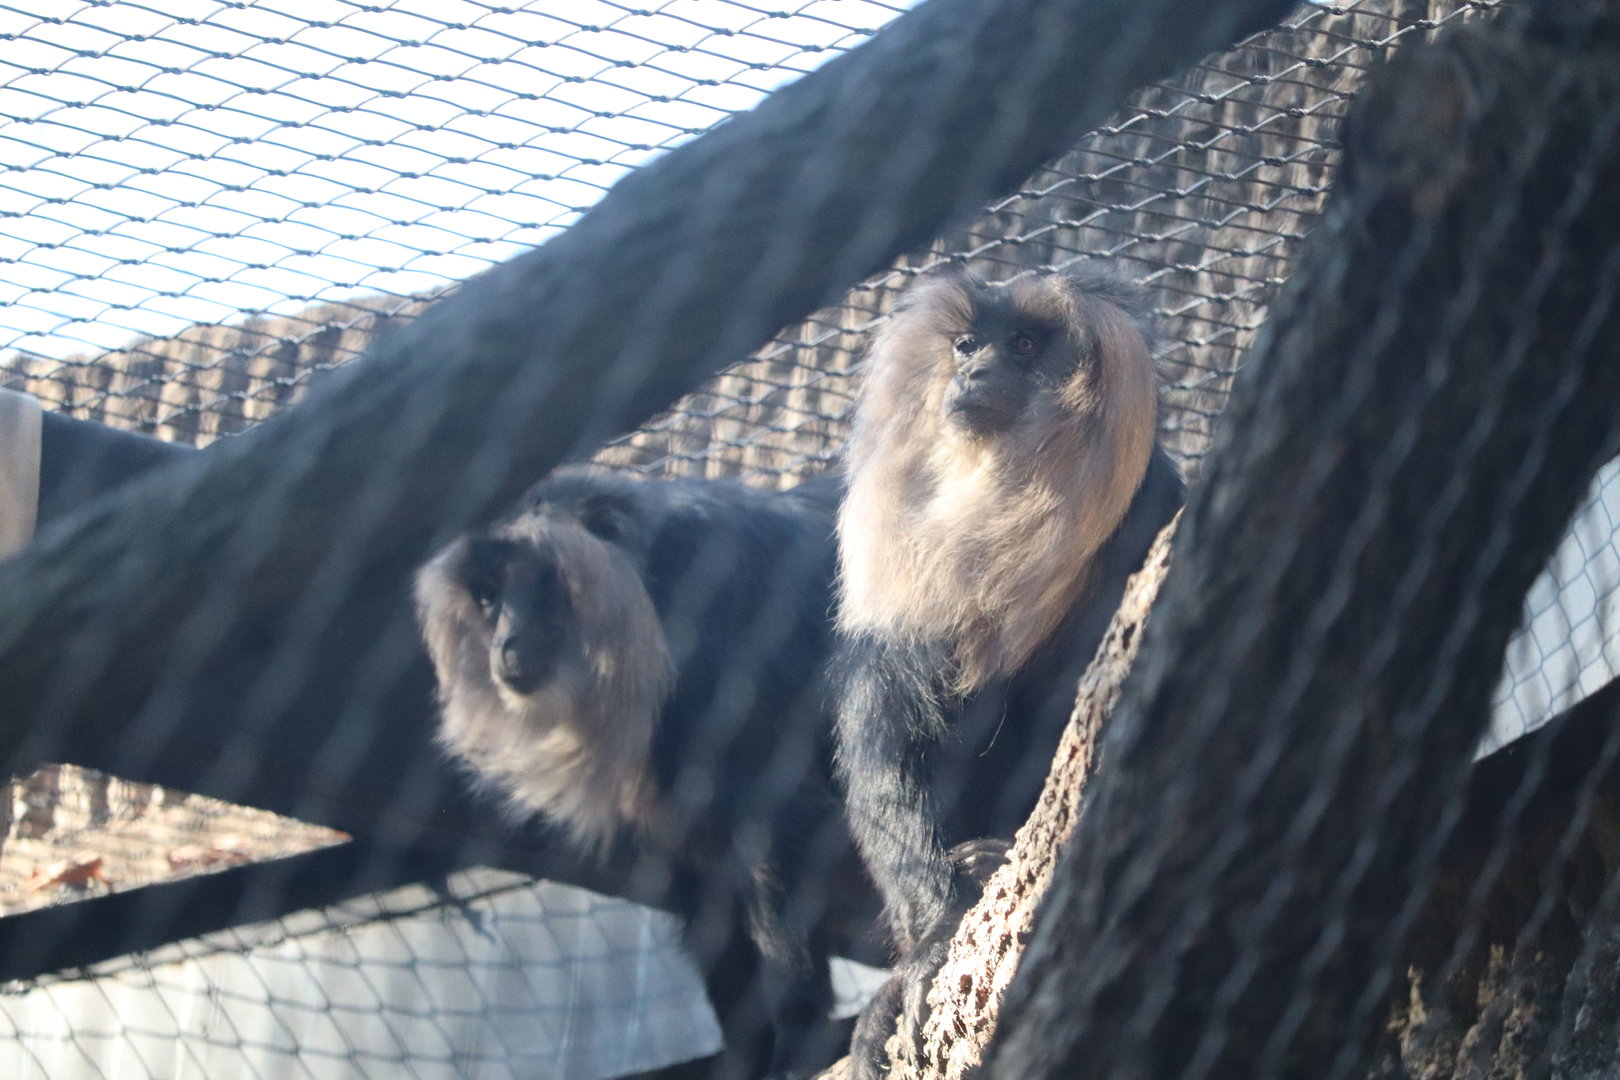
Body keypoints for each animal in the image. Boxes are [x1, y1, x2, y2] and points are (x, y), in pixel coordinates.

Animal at [414, 467, 869, 1080]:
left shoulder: (720, 639)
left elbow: (781, 825)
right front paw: (747, 1055)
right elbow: (709, 887)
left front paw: (800, 1039)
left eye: (541, 585)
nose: (505, 645)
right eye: (489, 598)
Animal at [831, 264, 1186, 1073]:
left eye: (1024, 344)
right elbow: (888, 749)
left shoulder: (1156, 509)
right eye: (967, 345)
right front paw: (930, 943)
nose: (973, 372)